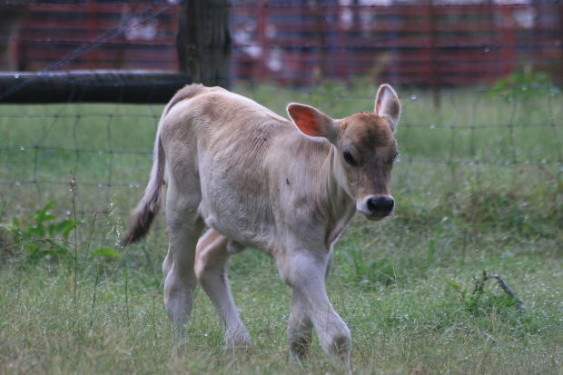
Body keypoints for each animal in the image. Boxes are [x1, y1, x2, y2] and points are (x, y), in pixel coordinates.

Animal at [122, 83, 400, 372]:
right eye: (349, 156)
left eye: (394, 155)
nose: (380, 202)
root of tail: (200, 89)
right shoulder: (299, 256)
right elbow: (336, 336)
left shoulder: (319, 255)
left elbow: (300, 330)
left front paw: (296, 366)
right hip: (182, 204)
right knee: (178, 281)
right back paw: (181, 354)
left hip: (229, 216)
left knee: (206, 259)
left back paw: (239, 343)